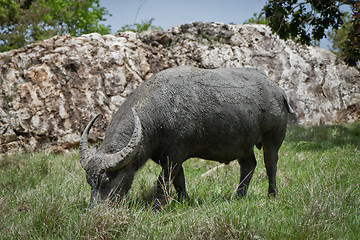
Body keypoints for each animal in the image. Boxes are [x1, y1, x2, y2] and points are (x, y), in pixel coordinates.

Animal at [79, 65, 292, 210]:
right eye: (90, 181)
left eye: (107, 179)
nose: (95, 211)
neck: (159, 112)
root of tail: (279, 91)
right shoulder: (169, 157)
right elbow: (178, 180)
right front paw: (185, 201)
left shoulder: (174, 154)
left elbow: (163, 181)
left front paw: (157, 208)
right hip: (243, 145)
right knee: (248, 165)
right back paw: (238, 196)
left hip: (273, 140)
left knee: (270, 164)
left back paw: (272, 194)